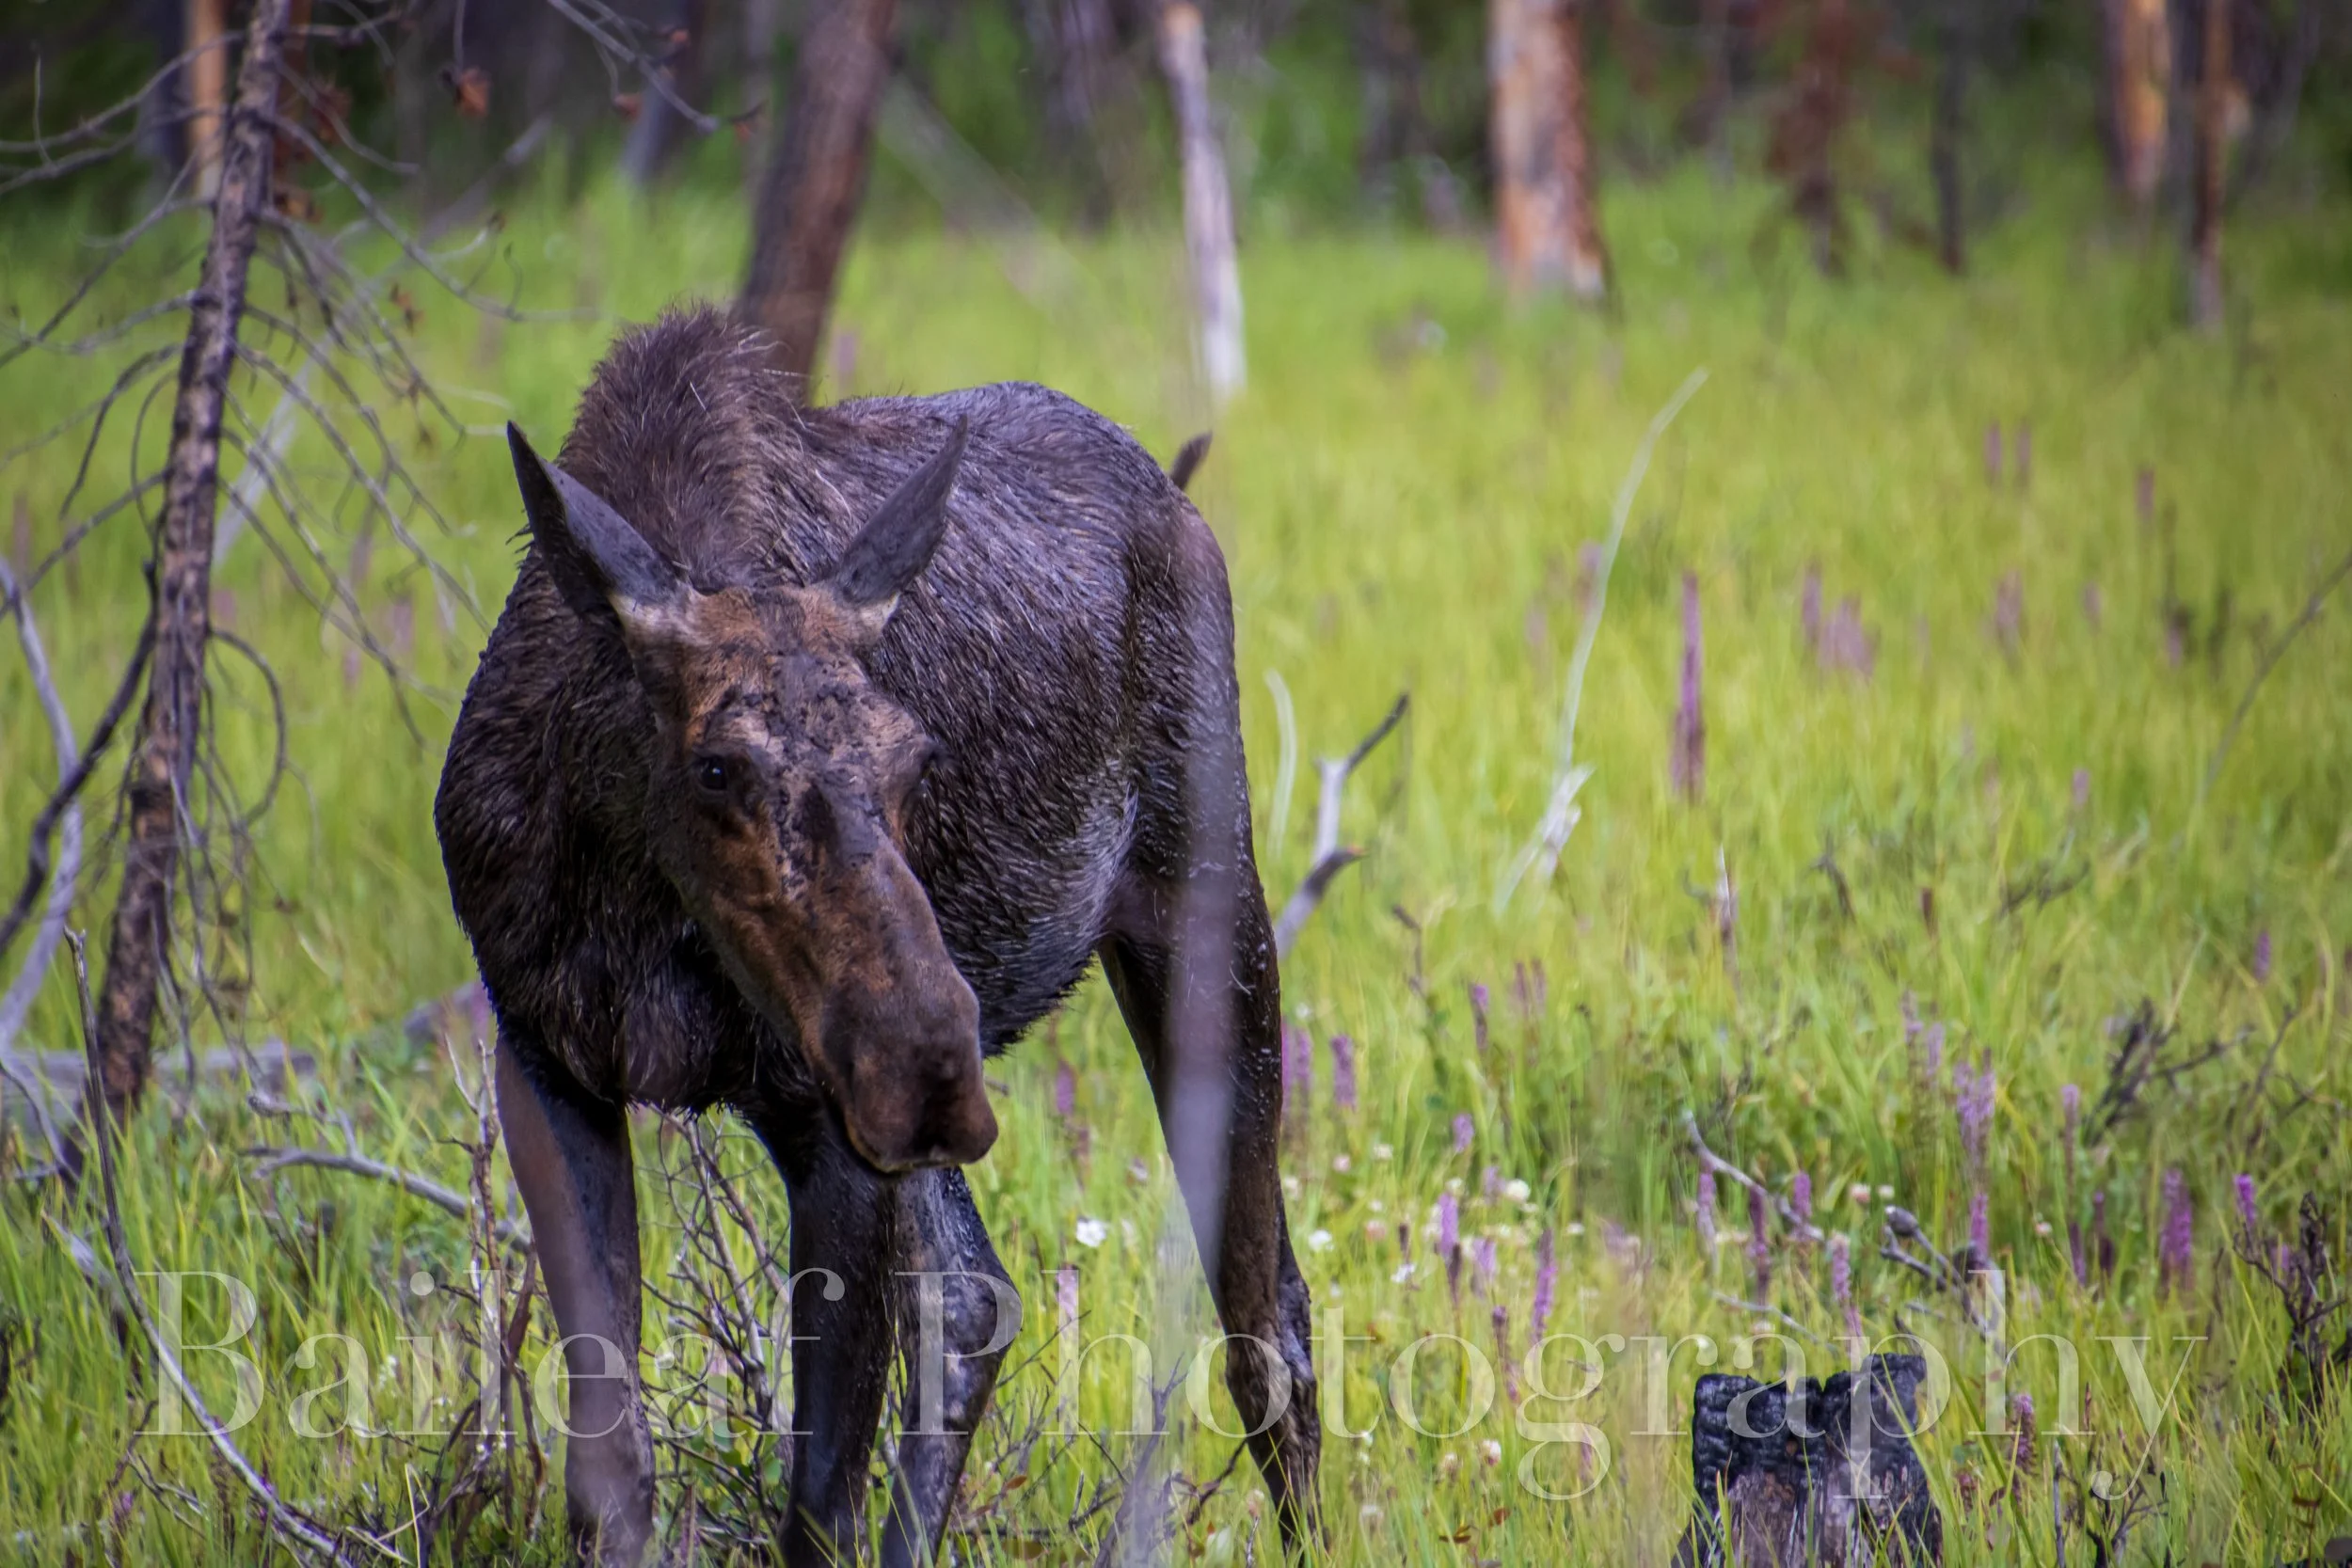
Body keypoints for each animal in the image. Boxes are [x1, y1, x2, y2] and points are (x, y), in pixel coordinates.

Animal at [434, 308, 1319, 1566]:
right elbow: (610, 1475)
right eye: (718, 766)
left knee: (1263, 1315)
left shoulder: (826, 1129)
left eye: (915, 756)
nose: (927, 1058)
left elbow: (814, 1504)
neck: (629, 887)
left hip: (1210, 913)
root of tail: (1174, 491)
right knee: (978, 1292)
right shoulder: (548, 1063)